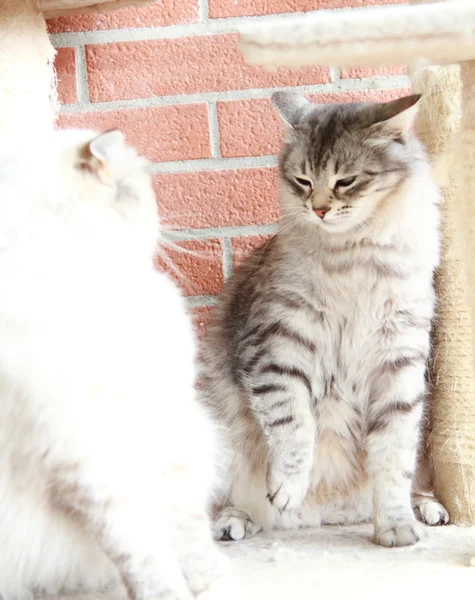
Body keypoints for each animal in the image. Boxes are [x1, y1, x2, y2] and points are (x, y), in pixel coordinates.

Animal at [0, 129, 229, 600]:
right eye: (143, 188)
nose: (160, 214)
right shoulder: (90, 457)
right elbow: (142, 551)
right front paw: (170, 594)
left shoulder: (164, 430)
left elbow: (189, 532)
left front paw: (213, 583)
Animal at [200, 91, 450, 548]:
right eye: (302, 180)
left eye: (344, 181)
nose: (317, 210)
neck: (353, 255)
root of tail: (328, 515)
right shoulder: (279, 348)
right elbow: (294, 427)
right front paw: (287, 488)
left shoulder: (400, 361)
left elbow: (393, 459)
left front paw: (395, 527)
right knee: (239, 501)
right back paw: (237, 521)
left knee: (417, 479)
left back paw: (428, 510)